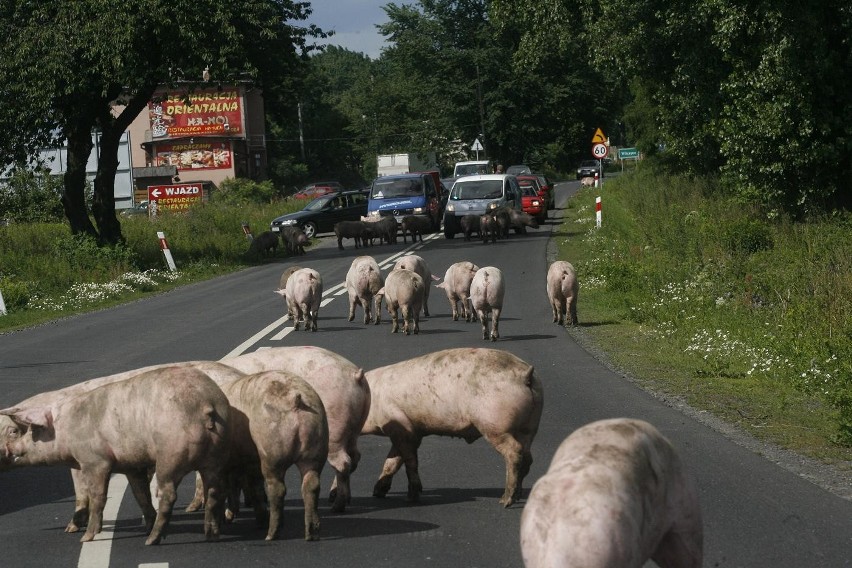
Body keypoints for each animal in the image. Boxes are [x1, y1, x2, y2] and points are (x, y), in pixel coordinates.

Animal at [0, 366, 233, 544]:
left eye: (30, 431)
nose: (9, 449)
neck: (66, 428)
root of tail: (207, 405)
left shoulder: (95, 460)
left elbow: (97, 496)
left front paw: (86, 537)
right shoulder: (132, 465)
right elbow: (140, 493)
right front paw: (146, 524)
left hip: (171, 453)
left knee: (169, 493)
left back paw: (152, 540)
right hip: (216, 454)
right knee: (214, 490)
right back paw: (210, 535)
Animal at [221, 370, 328, 540]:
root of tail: (296, 400)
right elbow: (251, 487)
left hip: (272, 448)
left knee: (277, 488)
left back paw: (271, 535)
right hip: (317, 443)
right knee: (312, 484)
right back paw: (312, 534)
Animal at [225, 346, 372, 516]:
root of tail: (354, 374)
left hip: (336, 426)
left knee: (342, 462)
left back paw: (336, 507)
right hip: (354, 427)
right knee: (354, 456)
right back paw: (337, 498)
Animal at [362, 348, 544, 508]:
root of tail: (525, 375)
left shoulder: (402, 426)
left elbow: (409, 462)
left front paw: (411, 498)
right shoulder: (411, 432)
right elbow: (392, 462)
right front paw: (377, 493)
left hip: (495, 424)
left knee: (514, 452)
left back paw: (505, 501)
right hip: (530, 425)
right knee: (528, 456)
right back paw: (518, 496)